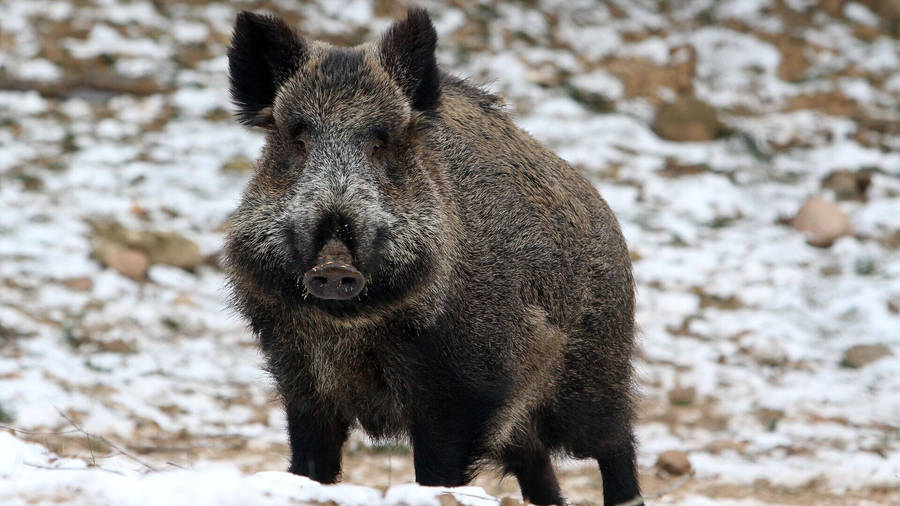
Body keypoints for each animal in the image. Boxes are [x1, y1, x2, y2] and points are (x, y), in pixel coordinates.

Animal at [224, 7, 641, 506]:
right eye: (298, 140)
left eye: (380, 143)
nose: (334, 266)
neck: (350, 329)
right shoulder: (299, 375)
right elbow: (311, 464)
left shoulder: (465, 386)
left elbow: (438, 470)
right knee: (539, 469)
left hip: (594, 372)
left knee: (616, 443)